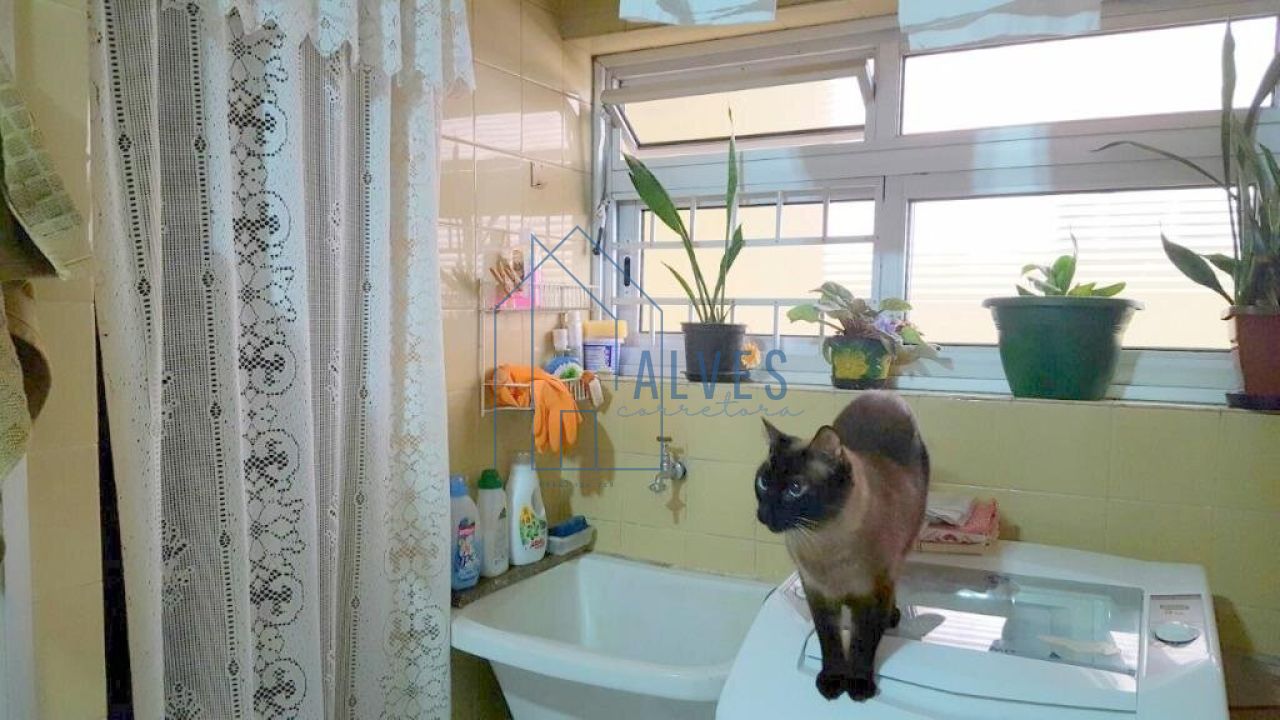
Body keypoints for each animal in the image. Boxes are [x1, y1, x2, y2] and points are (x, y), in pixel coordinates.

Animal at [755, 391, 929, 702]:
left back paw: (892, 617)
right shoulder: (817, 594)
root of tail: (883, 394)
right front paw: (832, 682)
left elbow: (862, 644)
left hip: (903, 551)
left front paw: (858, 686)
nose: (764, 514)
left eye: (795, 489)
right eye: (763, 482)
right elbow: (830, 642)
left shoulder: (873, 595)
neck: (823, 540)